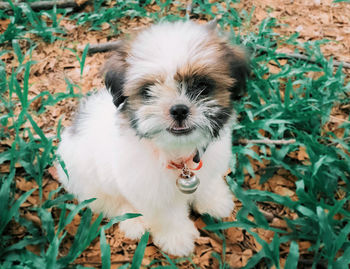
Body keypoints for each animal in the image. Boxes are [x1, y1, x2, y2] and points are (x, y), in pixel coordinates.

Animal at [56, 19, 249, 254]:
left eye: (202, 86)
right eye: (148, 91)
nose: (179, 110)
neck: (177, 153)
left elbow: (208, 184)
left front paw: (215, 201)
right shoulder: (149, 191)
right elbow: (167, 215)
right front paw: (177, 238)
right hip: (89, 184)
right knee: (110, 203)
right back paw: (134, 223)